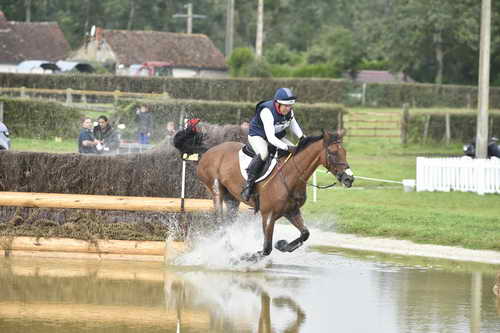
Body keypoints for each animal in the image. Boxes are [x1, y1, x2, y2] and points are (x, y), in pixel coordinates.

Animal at [196, 128, 356, 258]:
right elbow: (266, 249)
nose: (349, 179)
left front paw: (283, 245)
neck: (291, 175)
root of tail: (209, 152)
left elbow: (305, 234)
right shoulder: (268, 215)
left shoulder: (291, 211)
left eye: (345, 152)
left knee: (229, 222)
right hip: (216, 190)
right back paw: (228, 248)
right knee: (220, 222)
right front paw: (246, 257)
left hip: (232, 199)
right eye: (333, 153)